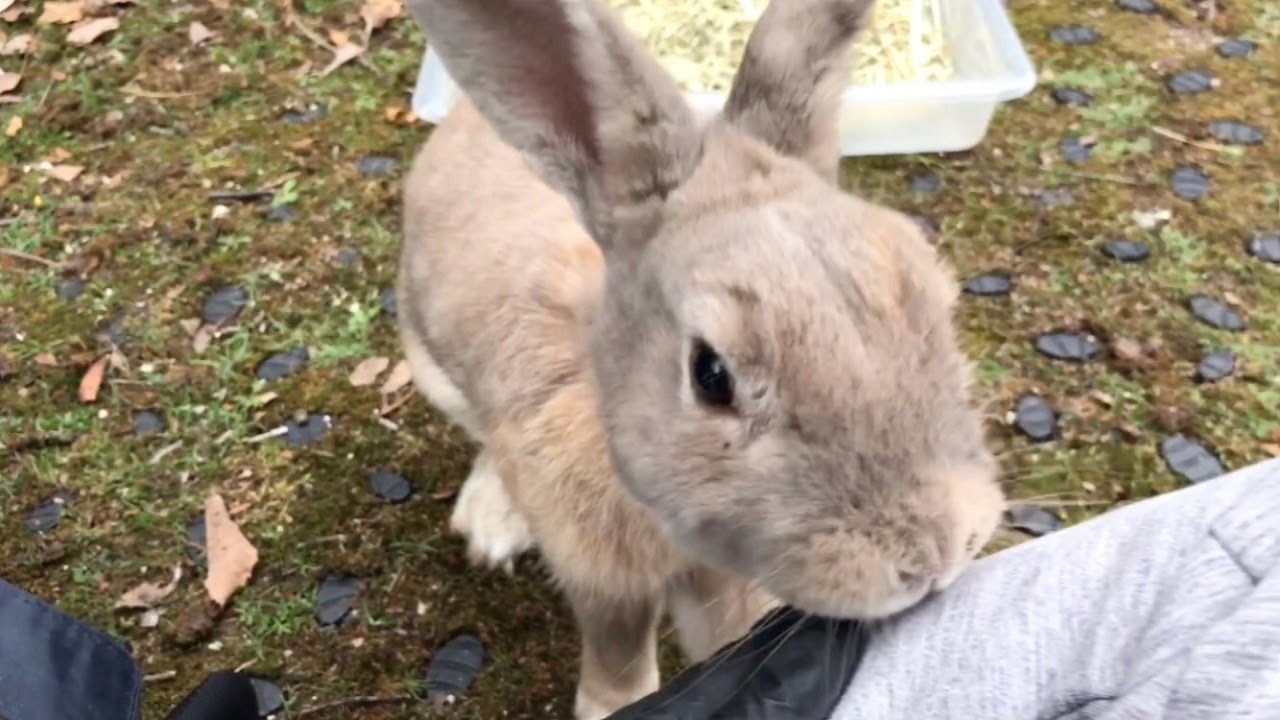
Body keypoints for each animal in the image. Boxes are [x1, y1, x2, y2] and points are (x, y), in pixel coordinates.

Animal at [396, 0, 1007, 717]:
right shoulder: (602, 578)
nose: (938, 555)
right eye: (712, 375)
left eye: (936, 298)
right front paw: (610, 706)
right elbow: (619, 656)